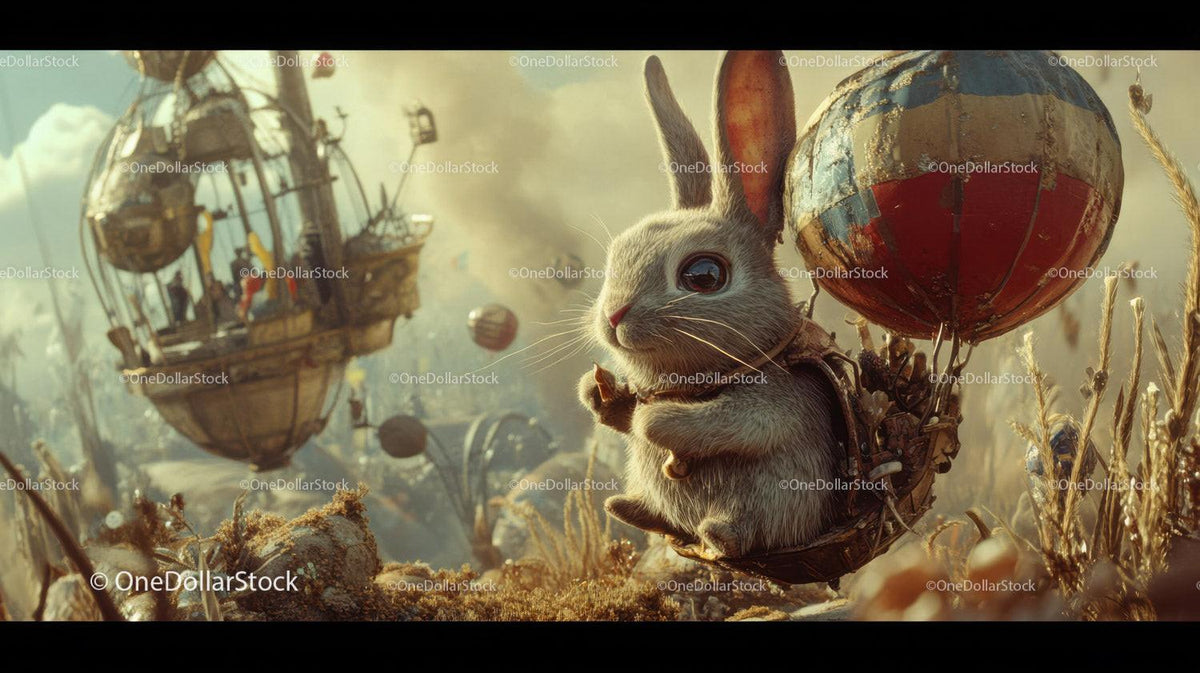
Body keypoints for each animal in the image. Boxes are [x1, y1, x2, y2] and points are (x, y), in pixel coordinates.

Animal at [577, 51, 842, 559]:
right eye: (617, 253)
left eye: (703, 276)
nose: (613, 316)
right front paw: (594, 393)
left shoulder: (783, 398)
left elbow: (737, 423)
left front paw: (654, 420)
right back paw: (630, 509)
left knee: (738, 531)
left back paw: (717, 532)